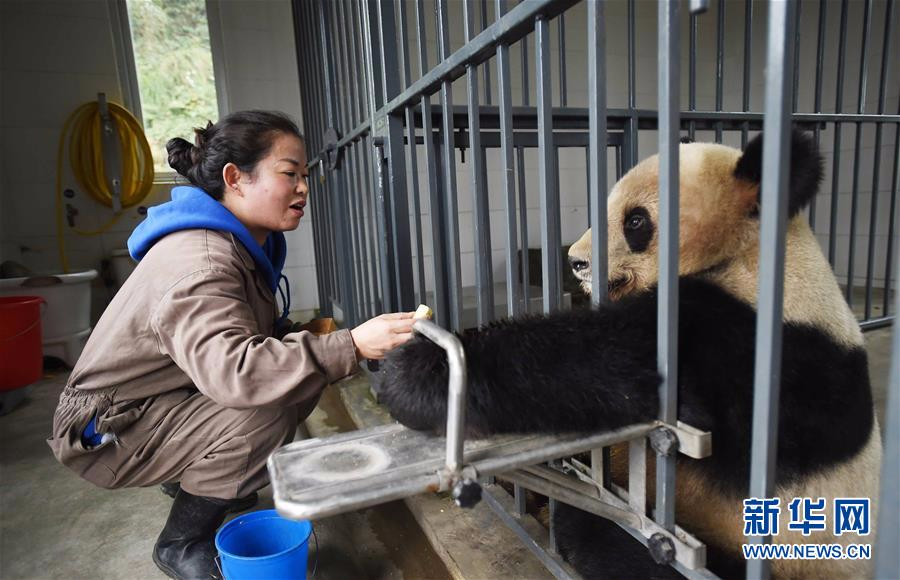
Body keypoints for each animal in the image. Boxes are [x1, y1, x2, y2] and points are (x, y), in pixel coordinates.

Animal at [376, 133, 884, 580]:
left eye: (636, 221)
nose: (576, 261)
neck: (748, 254)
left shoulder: (755, 348)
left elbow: (614, 364)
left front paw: (414, 374)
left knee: (620, 546)